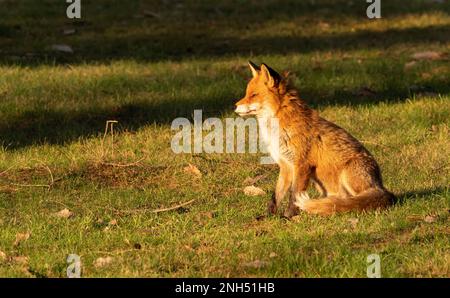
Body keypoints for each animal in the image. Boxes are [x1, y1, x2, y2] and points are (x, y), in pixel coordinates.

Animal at [234, 61, 396, 217]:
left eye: (254, 95)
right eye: (247, 94)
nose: (234, 107)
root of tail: (382, 188)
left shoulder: (302, 165)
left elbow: (294, 195)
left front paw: (288, 216)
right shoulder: (286, 166)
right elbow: (276, 196)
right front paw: (269, 216)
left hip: (348, 175)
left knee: (359, 202)